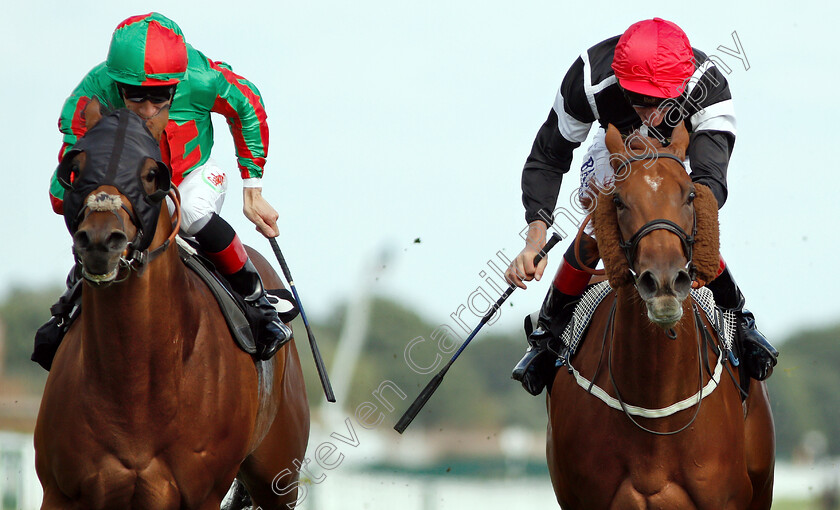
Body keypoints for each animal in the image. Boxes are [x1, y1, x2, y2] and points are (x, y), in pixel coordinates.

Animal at [33, 108, 308, 510]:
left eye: (151, 173)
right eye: (76, 169)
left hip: (279, 476)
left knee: (198, 215)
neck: (136, 385)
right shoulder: (61, 491)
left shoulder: (200, 495)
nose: (100, 240)